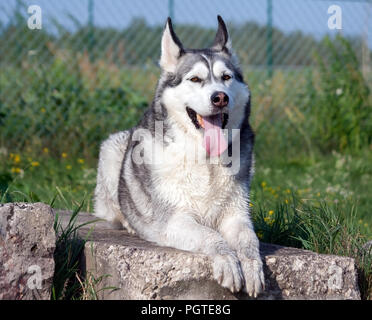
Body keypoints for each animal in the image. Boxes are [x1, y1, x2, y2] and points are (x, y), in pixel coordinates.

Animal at [94, 15, 266, 298]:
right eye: (195, 79)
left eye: (226, 77)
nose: (220, 97)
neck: (206, 160)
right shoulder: (175, 220)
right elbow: (211, 236)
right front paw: (228, 261)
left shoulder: (237, 215)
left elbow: (249, 240)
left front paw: (252, 267)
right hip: (112, 149)